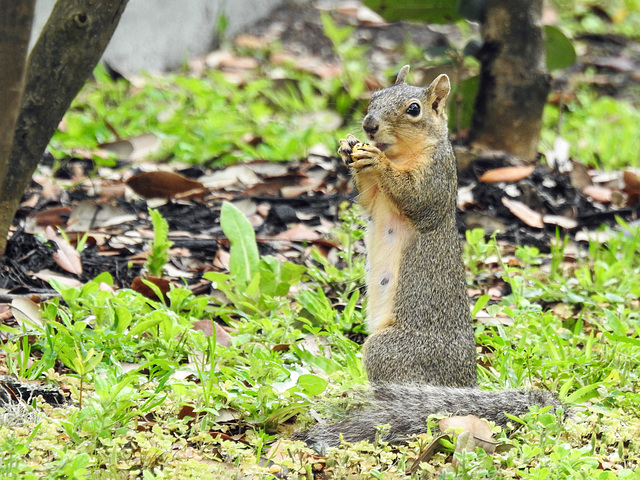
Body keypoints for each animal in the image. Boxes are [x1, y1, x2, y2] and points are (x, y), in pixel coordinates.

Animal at [302, 65, 564, 448]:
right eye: (374, 97)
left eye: (414, 109)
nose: (369, 125)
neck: (401, 153)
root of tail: (463, 387)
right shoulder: (374, 200)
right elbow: (366, 199)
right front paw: (349, 148)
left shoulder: (437, 178)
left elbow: (416, 198)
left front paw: (375, 159)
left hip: (391, 352)